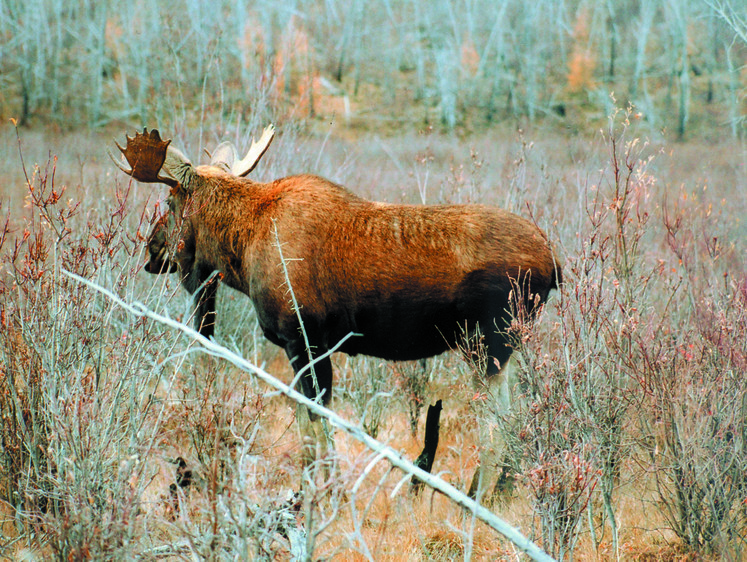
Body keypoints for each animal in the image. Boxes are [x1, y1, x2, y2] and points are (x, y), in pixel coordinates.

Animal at [114, 126, 560, 494]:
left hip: (487, 344)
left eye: (170, 202)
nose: (152, 251)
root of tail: (554, 263)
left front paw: (323, 494)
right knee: (514, 419)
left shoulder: (305, 341)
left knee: (496, 427)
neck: (242, 248)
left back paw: (477, 497)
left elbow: (314, 430)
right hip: (504, 347)